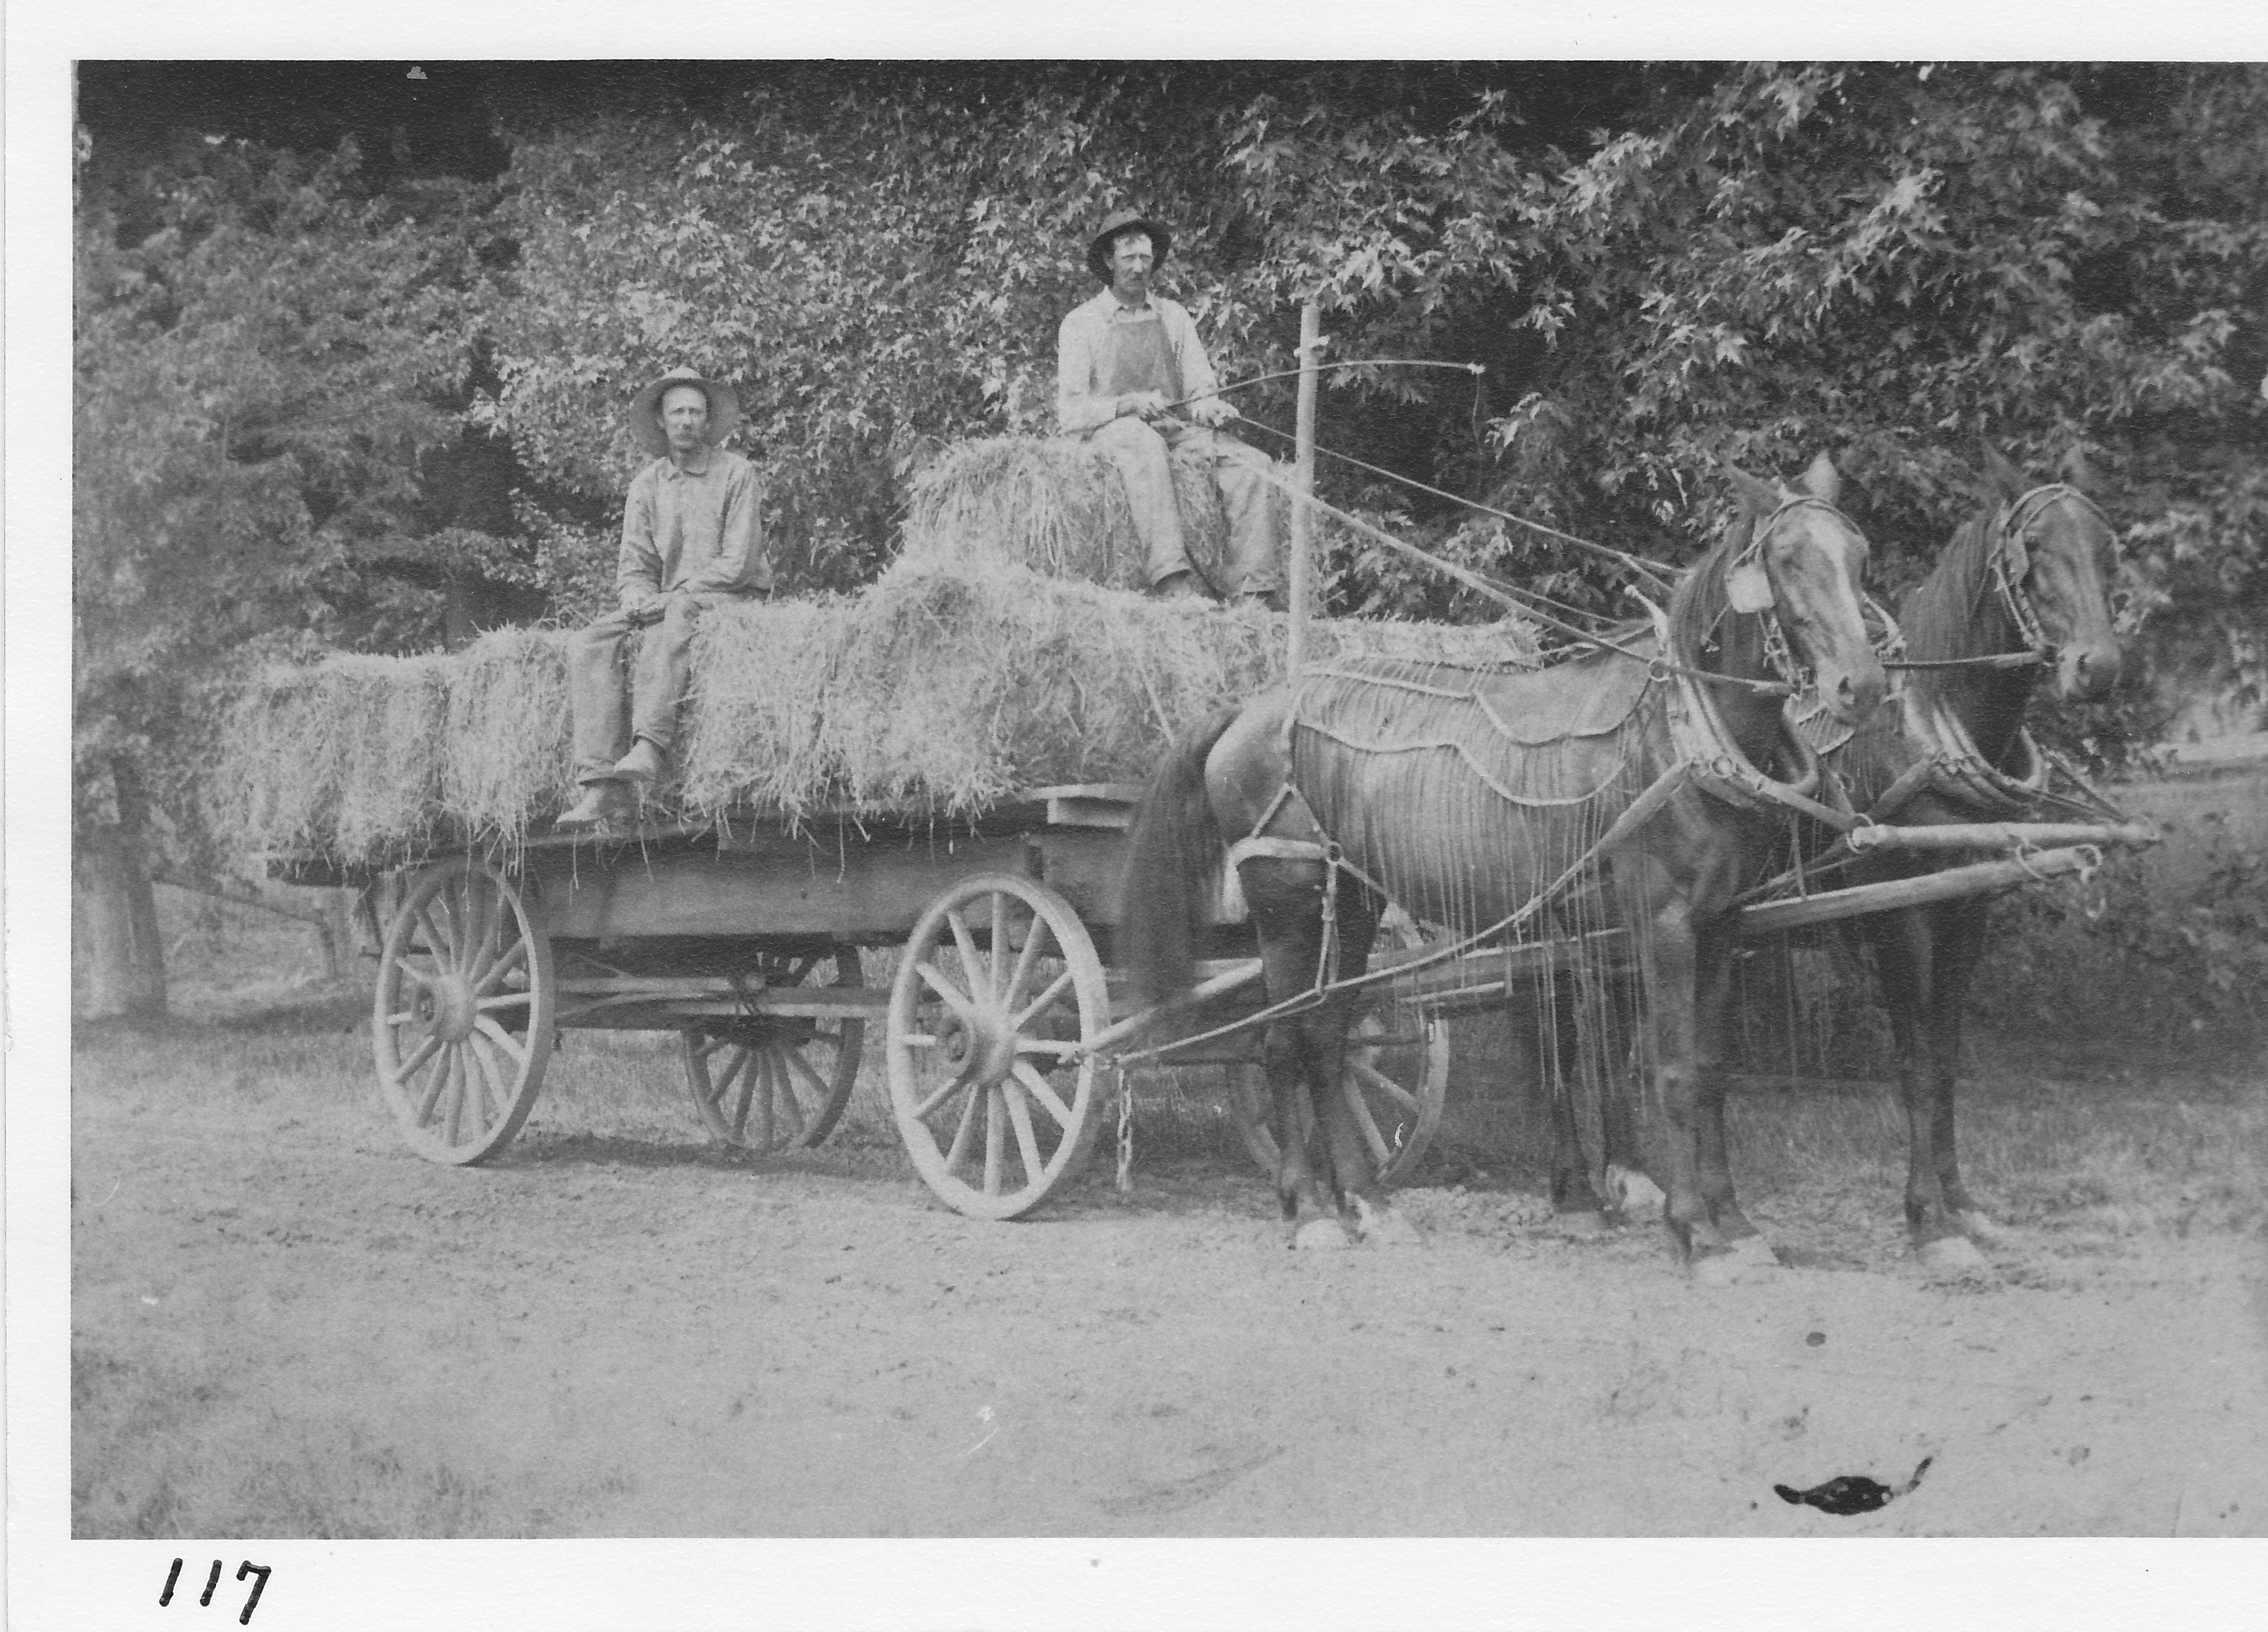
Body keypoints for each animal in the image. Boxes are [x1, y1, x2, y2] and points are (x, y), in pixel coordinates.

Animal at [1124, 456, 1886, 1280]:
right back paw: (1309, 1210)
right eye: (1788, 559)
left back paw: (1367, 1203)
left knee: (1328, 1046)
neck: (1683, 731)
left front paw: (1736, 1224)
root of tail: (1248, 709)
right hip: (1289, 907)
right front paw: (1691, 1230)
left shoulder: (1723, 920)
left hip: (1352, 907)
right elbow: (1672, 1071)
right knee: (1279, 1046)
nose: (1862, 685)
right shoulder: (1662, 922)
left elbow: (1711, 1071)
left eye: (1858, 554)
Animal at [1805, 449, 2122, 1280]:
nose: (2098, 667)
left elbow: (1946, 1059)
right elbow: (1915, 1061)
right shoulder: (1901, 914)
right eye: (2033, 547)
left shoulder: (1968, 910)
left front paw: (1965, 1206)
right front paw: (1927, 1223)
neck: (1926, 733)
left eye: (2106, 548)